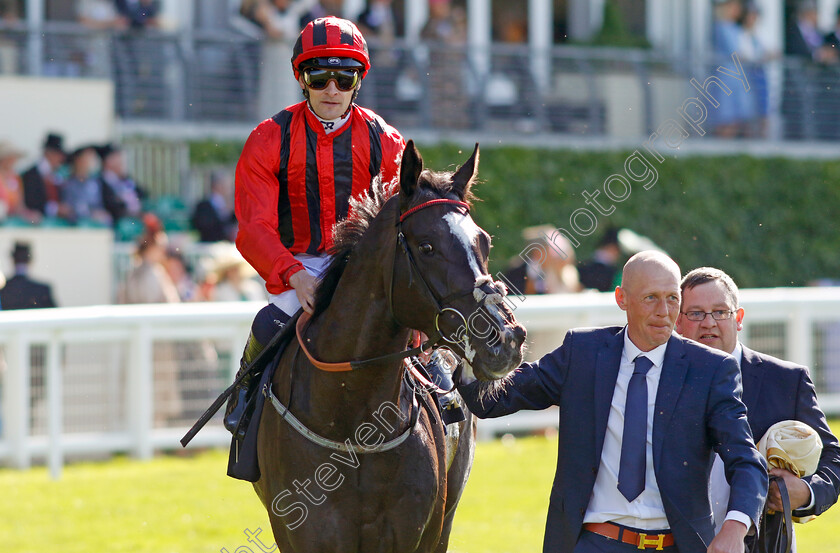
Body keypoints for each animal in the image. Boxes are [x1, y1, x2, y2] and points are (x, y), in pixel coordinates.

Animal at [253, 143, 524, 552]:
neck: (351, 422)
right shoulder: (302, 533)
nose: (506, 338)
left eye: (484, 242)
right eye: (426, 246)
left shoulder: (416, 533)